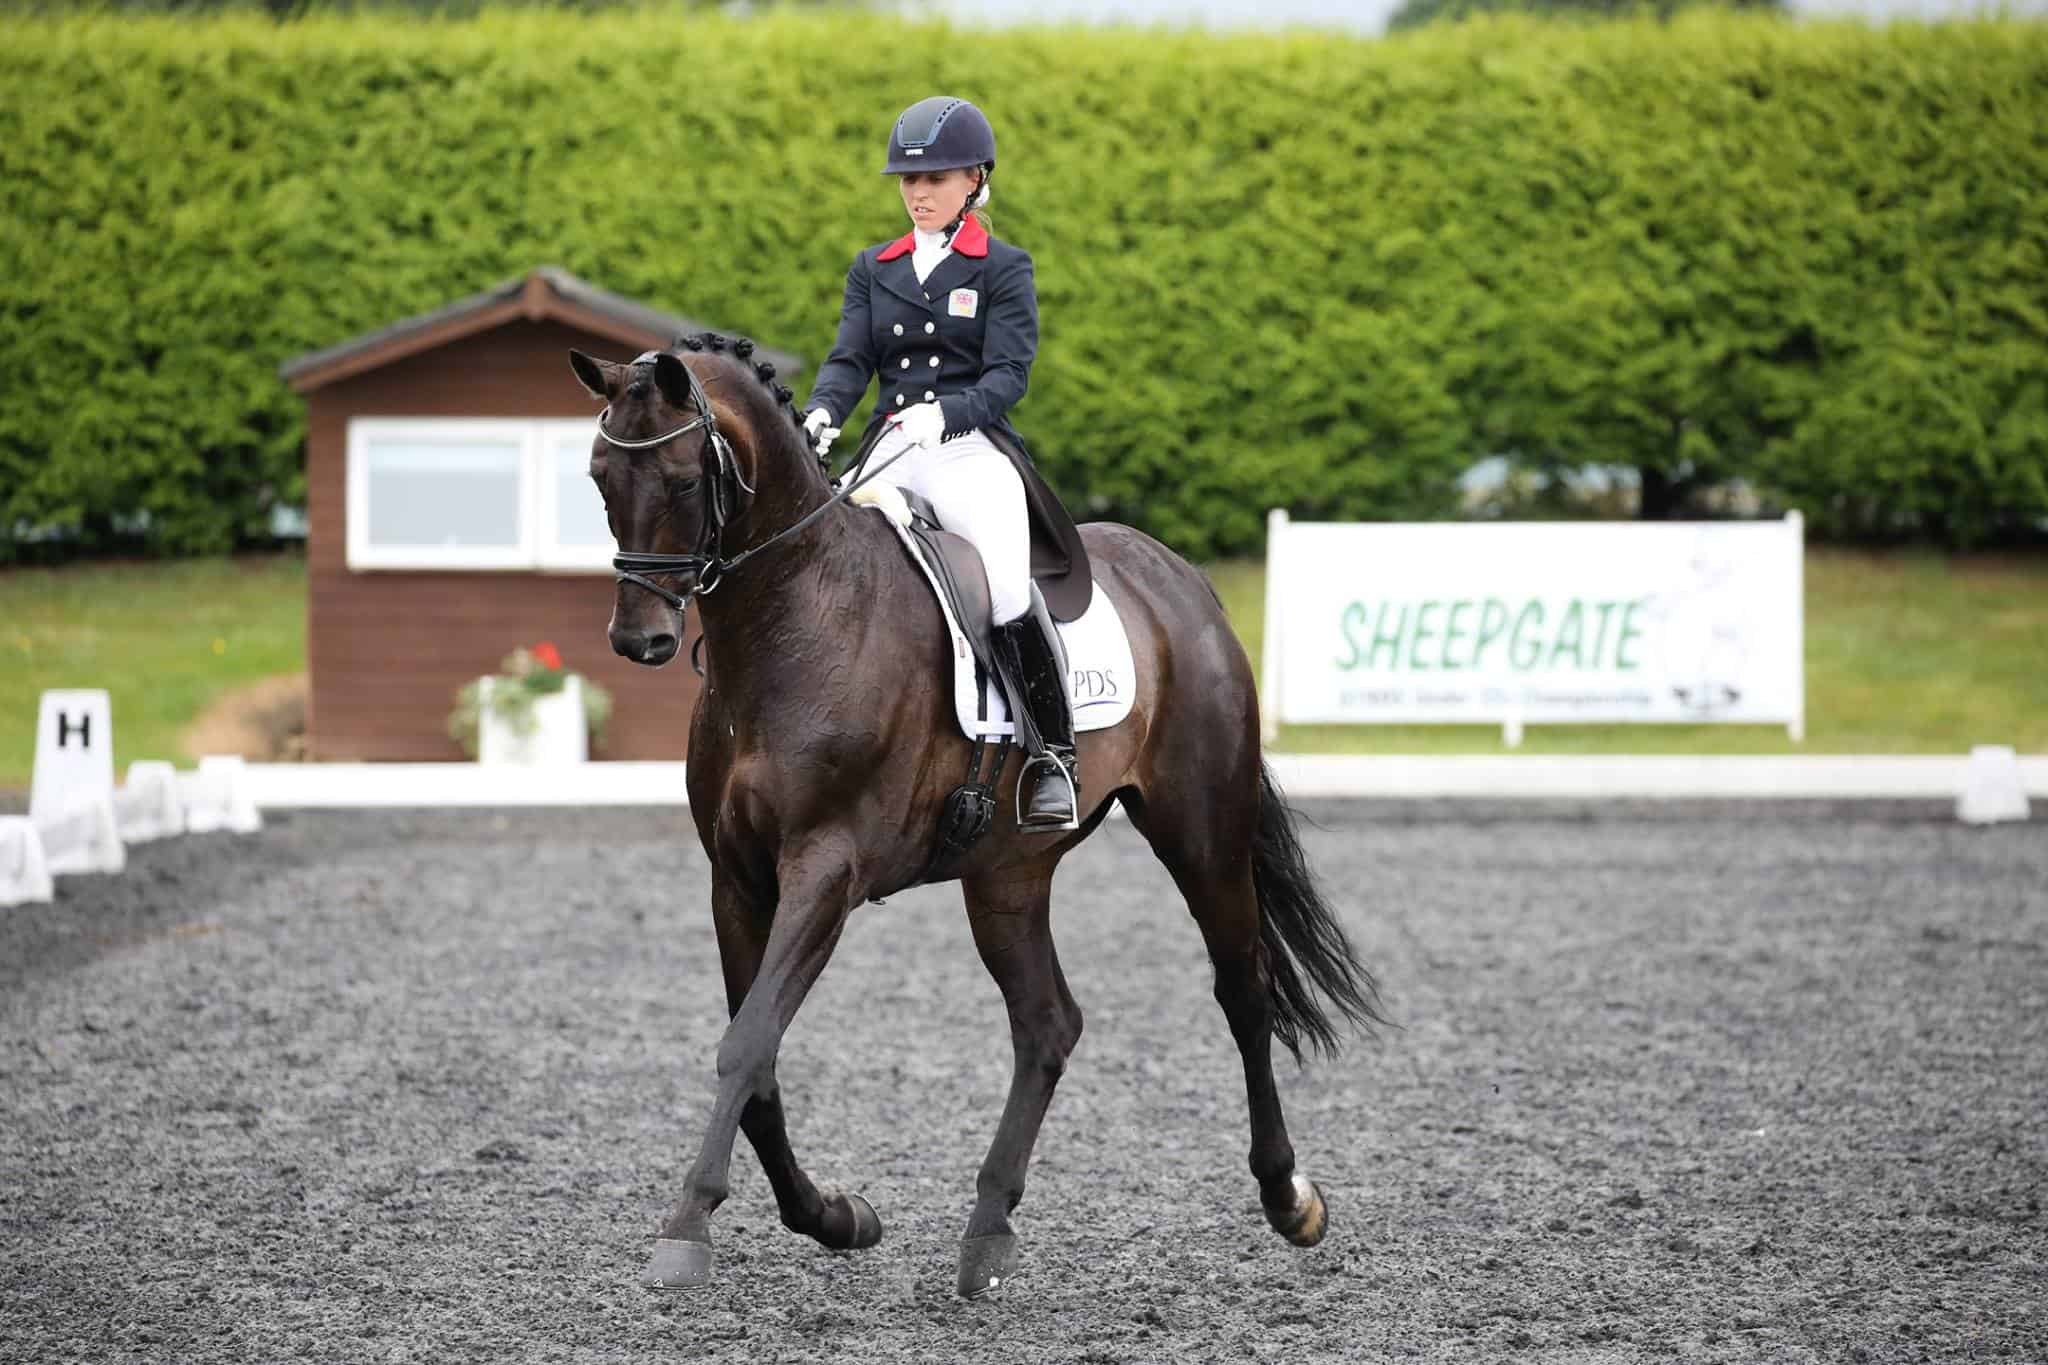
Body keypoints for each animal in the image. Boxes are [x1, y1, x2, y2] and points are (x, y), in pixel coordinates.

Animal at [568, 336, 1384, 1298]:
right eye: (599, 476)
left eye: (687, 479)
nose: (640, 640)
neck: (793, 620)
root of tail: (1183, 579)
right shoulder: (736, 880)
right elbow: (757, 1057)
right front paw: (837, 1216)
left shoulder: (825, 871)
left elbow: (747, 1042)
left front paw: (688, 1225)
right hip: (1007, 874)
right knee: (1048, 1023)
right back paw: (988, 1228)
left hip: (1202, 833)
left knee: (1242, 989)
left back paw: (1289, 1197)